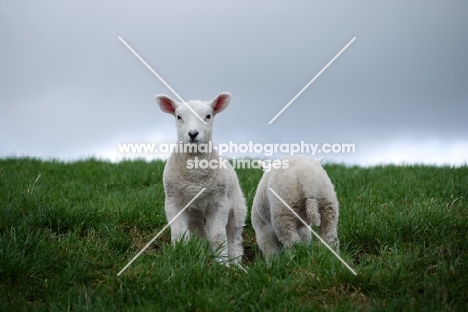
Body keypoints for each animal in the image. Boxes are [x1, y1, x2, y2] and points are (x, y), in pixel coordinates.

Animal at [155, 91, 247, 264]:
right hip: (195, 215)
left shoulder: (219, 202)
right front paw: (179, 256)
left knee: (234, 238)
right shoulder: (173, 202)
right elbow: (179, 234)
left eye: (208, 116)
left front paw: (222, 264)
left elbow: (218, 236)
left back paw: (236, 264)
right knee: (200, 235)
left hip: (237, 208)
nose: (192, 134)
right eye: (178, 117)